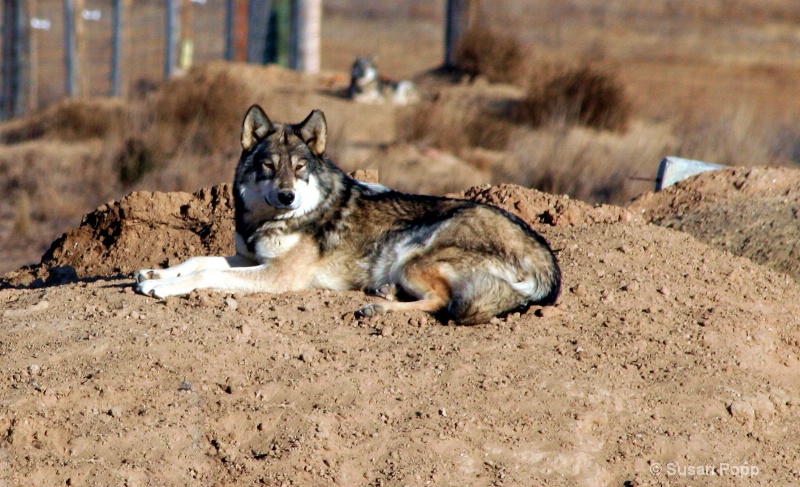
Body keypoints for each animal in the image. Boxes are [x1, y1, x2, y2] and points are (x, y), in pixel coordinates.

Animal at [134, 105, 560, 326]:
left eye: (300, 168)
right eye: (269, 167)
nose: (287, 196)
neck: (270, 220)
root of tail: (548, 264)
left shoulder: (277, 276)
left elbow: (208, 274)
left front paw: (162, 288)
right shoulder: (247, 256)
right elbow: (196, 260)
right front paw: (153, 274)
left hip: (414, 256)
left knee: (441, 303)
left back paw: (378, 306)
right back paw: (383, 293)